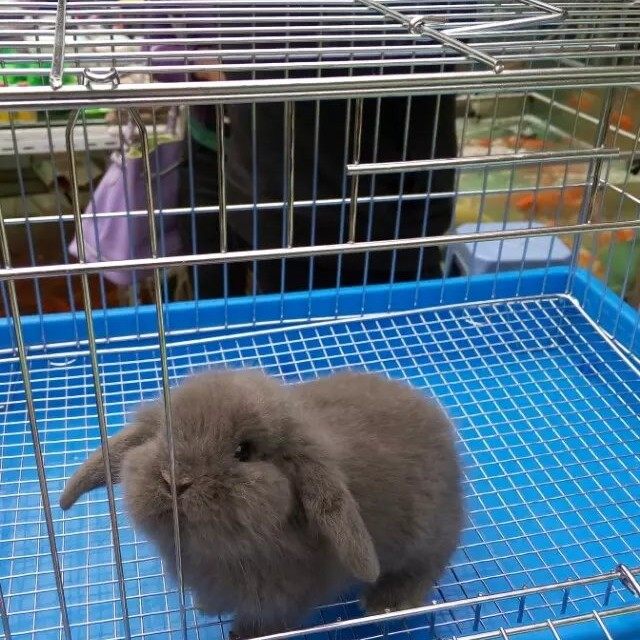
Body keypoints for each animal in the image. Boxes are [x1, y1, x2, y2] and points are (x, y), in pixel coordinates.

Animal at [60, 369, 463, 638]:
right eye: (162, 435)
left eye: (244, 451)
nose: (175, 481)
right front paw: (207, 607)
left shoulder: (281, 600)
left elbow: (264, 624)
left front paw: (239, 635)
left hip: (425, 540)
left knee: (426, 566)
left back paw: (386, 602)